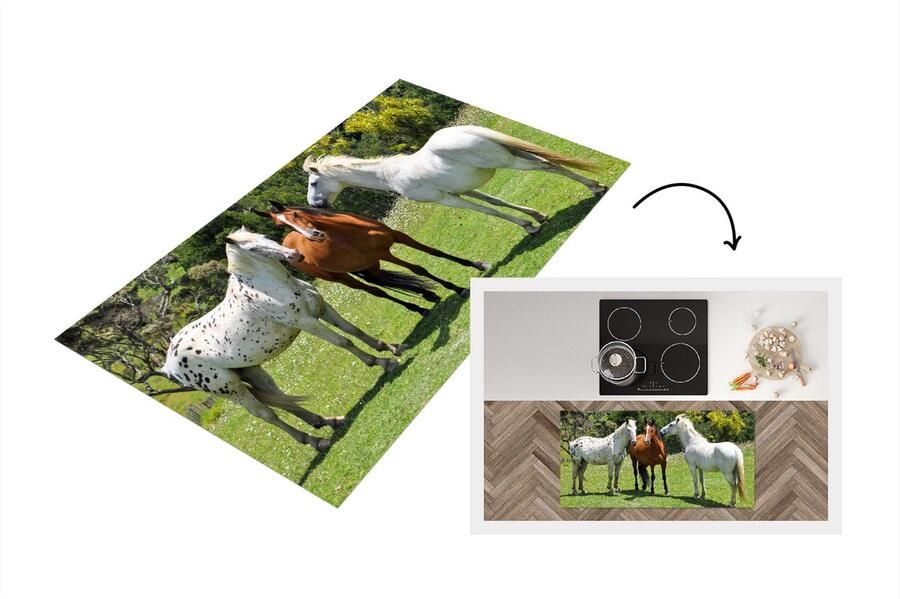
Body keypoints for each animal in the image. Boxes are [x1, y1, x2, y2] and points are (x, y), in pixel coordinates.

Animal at [160, 227, 405, 451]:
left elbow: (353, 331)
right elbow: (343, 342)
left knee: (282, 399)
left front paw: (391, 348)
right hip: (231, 390)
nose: (294, 254)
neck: (270, 291)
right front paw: (384, 363)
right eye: (253, 248)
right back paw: (316, 441)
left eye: (264, 237)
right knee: (266, 414)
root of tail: (169, 367)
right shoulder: (306, 322)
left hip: (252, 372)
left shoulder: (323, 309)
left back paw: (329, 422)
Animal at [253, 201, 489, 316]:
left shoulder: (396, 236)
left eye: (294, 215)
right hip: (344, 278)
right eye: (280, 224)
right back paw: (420, 309)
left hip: (369, 266)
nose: (314, 236)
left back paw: (428, 295)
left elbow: (434, 253)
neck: (353, 231)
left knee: (382, 280)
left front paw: (477, 264)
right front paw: (458, 289)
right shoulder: (382, 254)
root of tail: (288, 245)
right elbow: (418, 269)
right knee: (377, 291)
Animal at [303, 125, 608, 235]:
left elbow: (488, 211)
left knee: (547, 167)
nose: (317, 206)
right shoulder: (465, 191)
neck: (391, 174)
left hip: (511, 161)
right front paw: (537, 217)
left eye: (314, 183)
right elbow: (496, 202)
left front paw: (529, 227)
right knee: (549, 164)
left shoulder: (448, 200)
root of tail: (465, 130)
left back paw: (595, 188)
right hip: (513, 154)